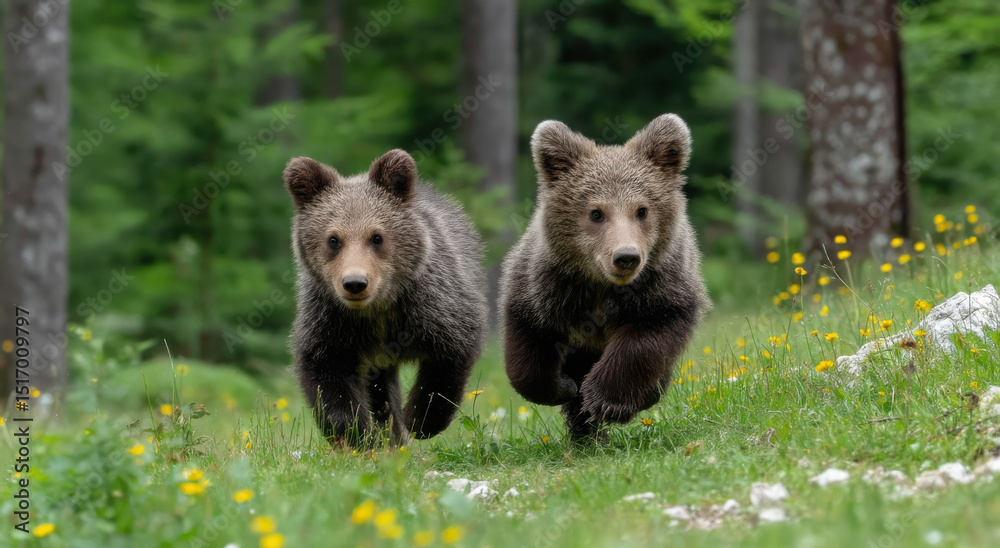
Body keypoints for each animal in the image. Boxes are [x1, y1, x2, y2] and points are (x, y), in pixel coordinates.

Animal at [284, 149, 488, 448]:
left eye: (376, 237)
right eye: (333, 239)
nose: (355, 283)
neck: (377, 309)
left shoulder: (435, 306)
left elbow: (449, 357)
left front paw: (420, 419)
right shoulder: (330, 319)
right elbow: (327, 371)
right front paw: (354, 432)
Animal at [499, 114, 709, 442]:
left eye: (642, 210)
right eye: (596, 213)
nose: (626, 256)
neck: (602, 285)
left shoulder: (663, 284)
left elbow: (646, 337)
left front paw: (607, 400)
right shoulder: (545, 284)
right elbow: (529, 342)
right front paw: (563, 386)